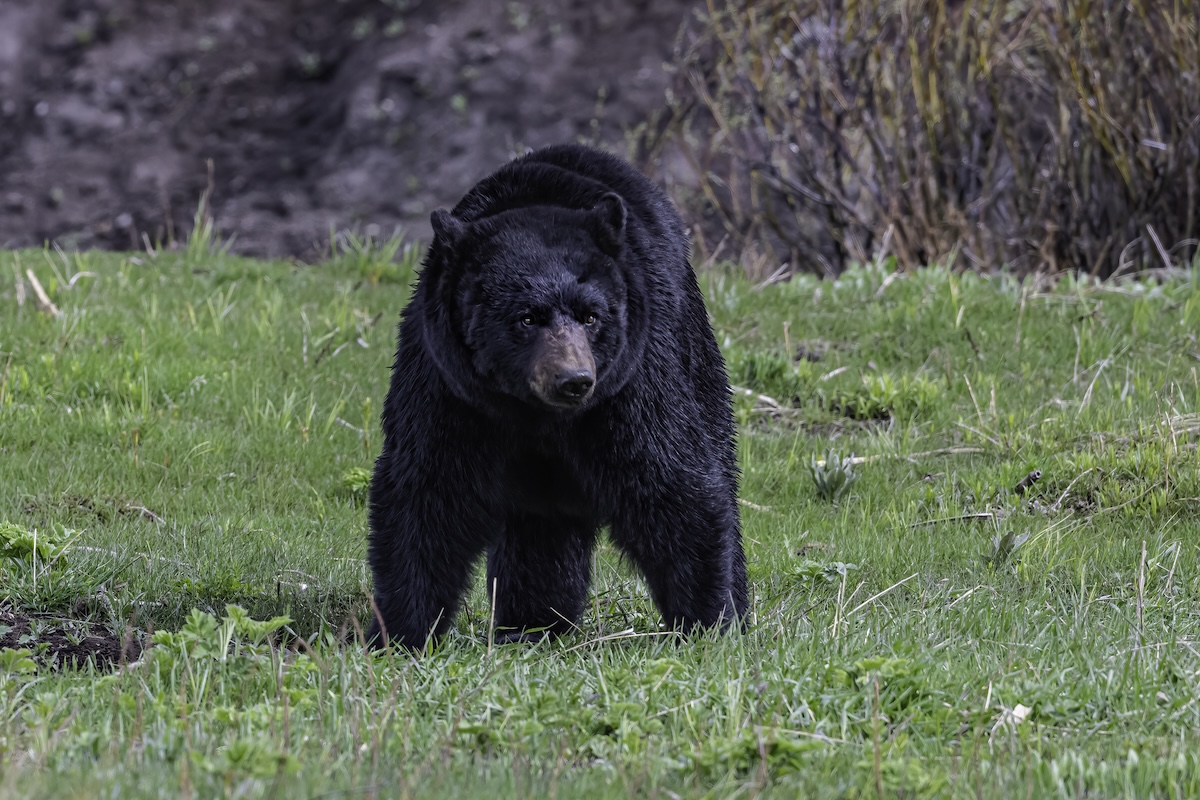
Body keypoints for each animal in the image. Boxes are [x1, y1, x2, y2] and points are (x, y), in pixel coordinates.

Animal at [365, 143, 748, 649]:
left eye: (591, 315)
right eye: (527, 317)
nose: (574, 380)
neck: (537, 415)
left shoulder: (632, 379)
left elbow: (670, 478)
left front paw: (708, 623)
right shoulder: (446, 384)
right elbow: (426, 487)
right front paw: (398, 632)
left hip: (692, 345)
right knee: (539, 529)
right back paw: (534, 622)